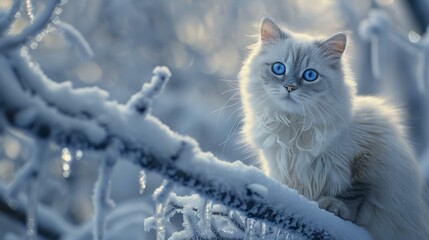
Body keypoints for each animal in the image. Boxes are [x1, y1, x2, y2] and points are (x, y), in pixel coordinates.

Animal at [239, 17, 428, 240]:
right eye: (278, 69)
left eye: (310, 75)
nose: (290, 87)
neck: (295, 127)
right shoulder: (282, 171)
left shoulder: (367, 157)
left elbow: (353, 193)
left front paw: (335, 207)